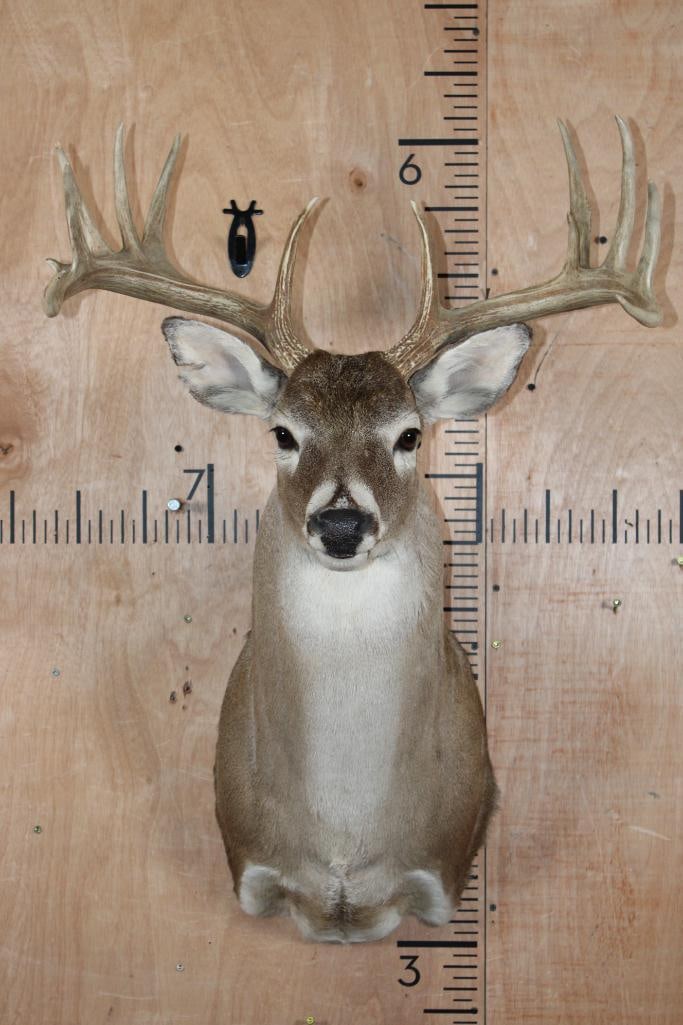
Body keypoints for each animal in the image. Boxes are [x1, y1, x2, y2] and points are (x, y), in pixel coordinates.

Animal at [44, 117, 661, 943]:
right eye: (281, 432)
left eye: (408, 434)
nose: (340, 520)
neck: (341, 839)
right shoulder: (251, 864)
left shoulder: (442, 866)